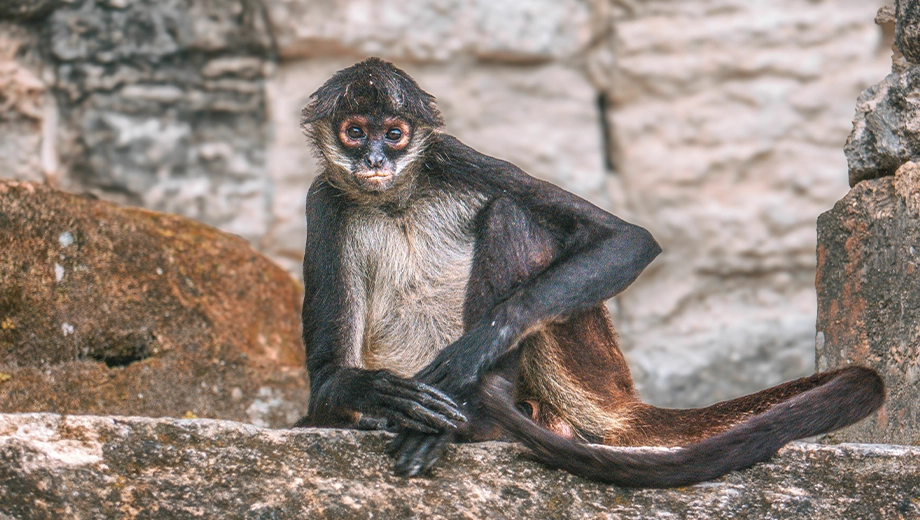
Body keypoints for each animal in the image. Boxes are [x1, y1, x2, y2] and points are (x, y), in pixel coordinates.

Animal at [296, 57, 884, 488]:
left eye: (394, 134)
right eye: (354, 132)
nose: (375, 159)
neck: (396, 199)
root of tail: (621, 402)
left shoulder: (453, 156)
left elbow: (626, 239)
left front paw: (471, 355)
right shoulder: (321, 202)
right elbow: (326, 380)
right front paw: (379, 395)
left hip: (591, 369)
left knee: (512, 210)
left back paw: (477, 416)